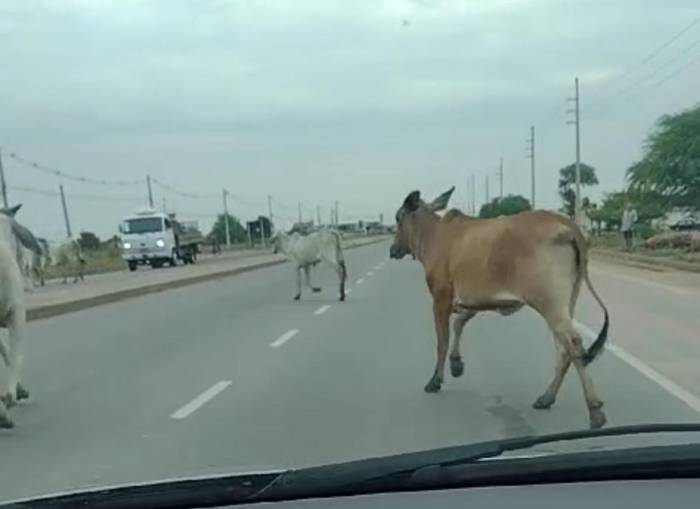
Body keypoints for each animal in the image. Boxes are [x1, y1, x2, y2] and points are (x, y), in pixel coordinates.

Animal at [389, 187, 610, 429]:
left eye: (398, 217)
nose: (393, 249)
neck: (434, 235)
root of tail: (566, 223)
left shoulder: (440, 299)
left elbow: (442, 342)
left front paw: (435, 380)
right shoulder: (472, 300)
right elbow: (459, 324)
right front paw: (457, 364)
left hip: (550, 304)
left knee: (573, 344)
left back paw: (595, 411)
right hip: (566, 303)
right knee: (564, 350)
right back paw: (546, 397)